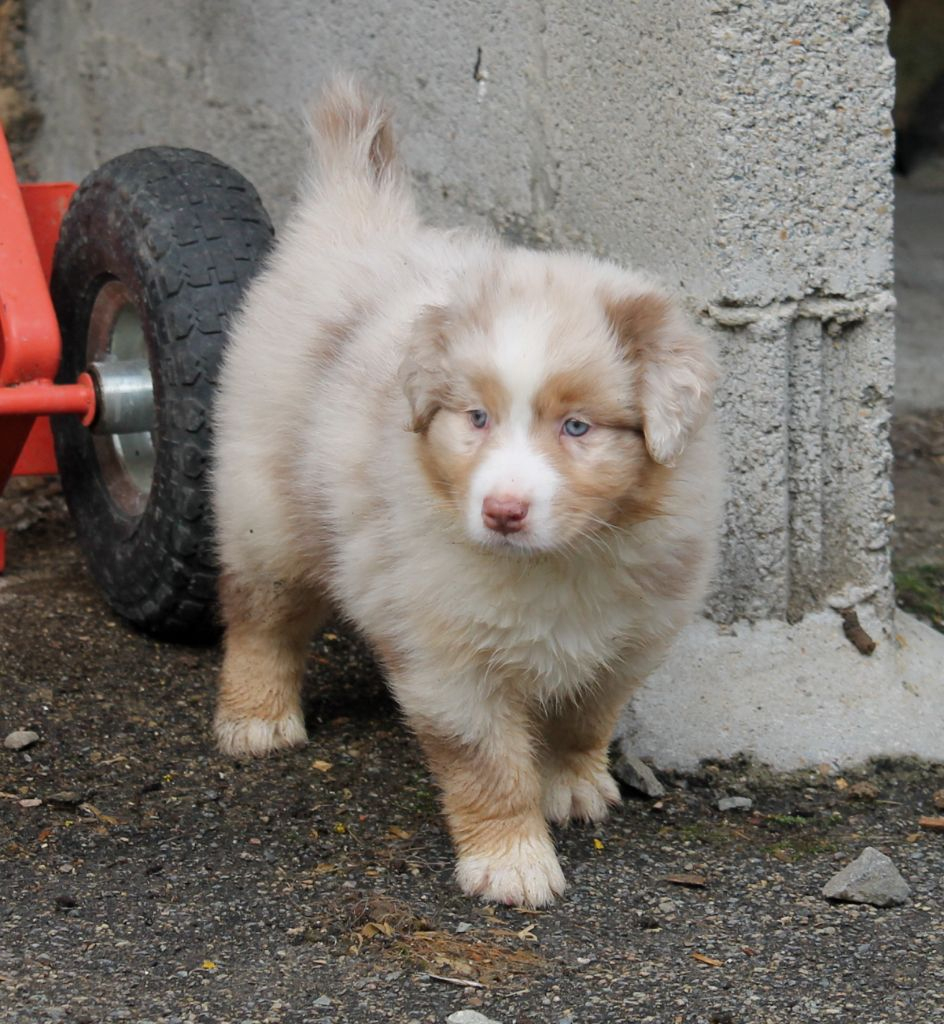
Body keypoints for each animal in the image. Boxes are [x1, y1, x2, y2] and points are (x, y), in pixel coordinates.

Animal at [209, 81, 716, 913]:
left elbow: (586, 718)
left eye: (577, 426)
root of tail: (356, 215)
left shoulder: (629, 639)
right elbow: (488, 768)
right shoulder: (449, 662)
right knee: (261, 615)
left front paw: (574, 786)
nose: (502, 512)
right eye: (476, 418)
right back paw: (256, 718)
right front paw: (512, 863)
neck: (557, 562)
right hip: (264, 507)